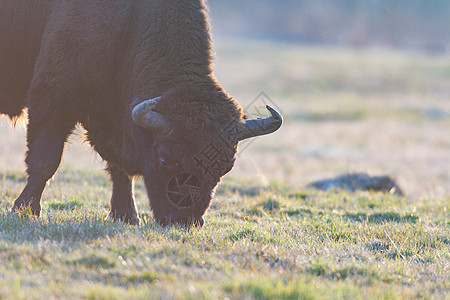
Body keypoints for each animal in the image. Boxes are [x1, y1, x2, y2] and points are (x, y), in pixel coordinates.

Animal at [0, 0, 282, 225]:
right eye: (165, 159)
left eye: (226, 166)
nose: (184, 221)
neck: (130, 23)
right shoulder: (53, 101)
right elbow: (45, 161)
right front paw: (25, 210)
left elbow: (119, 169)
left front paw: (127, 216)